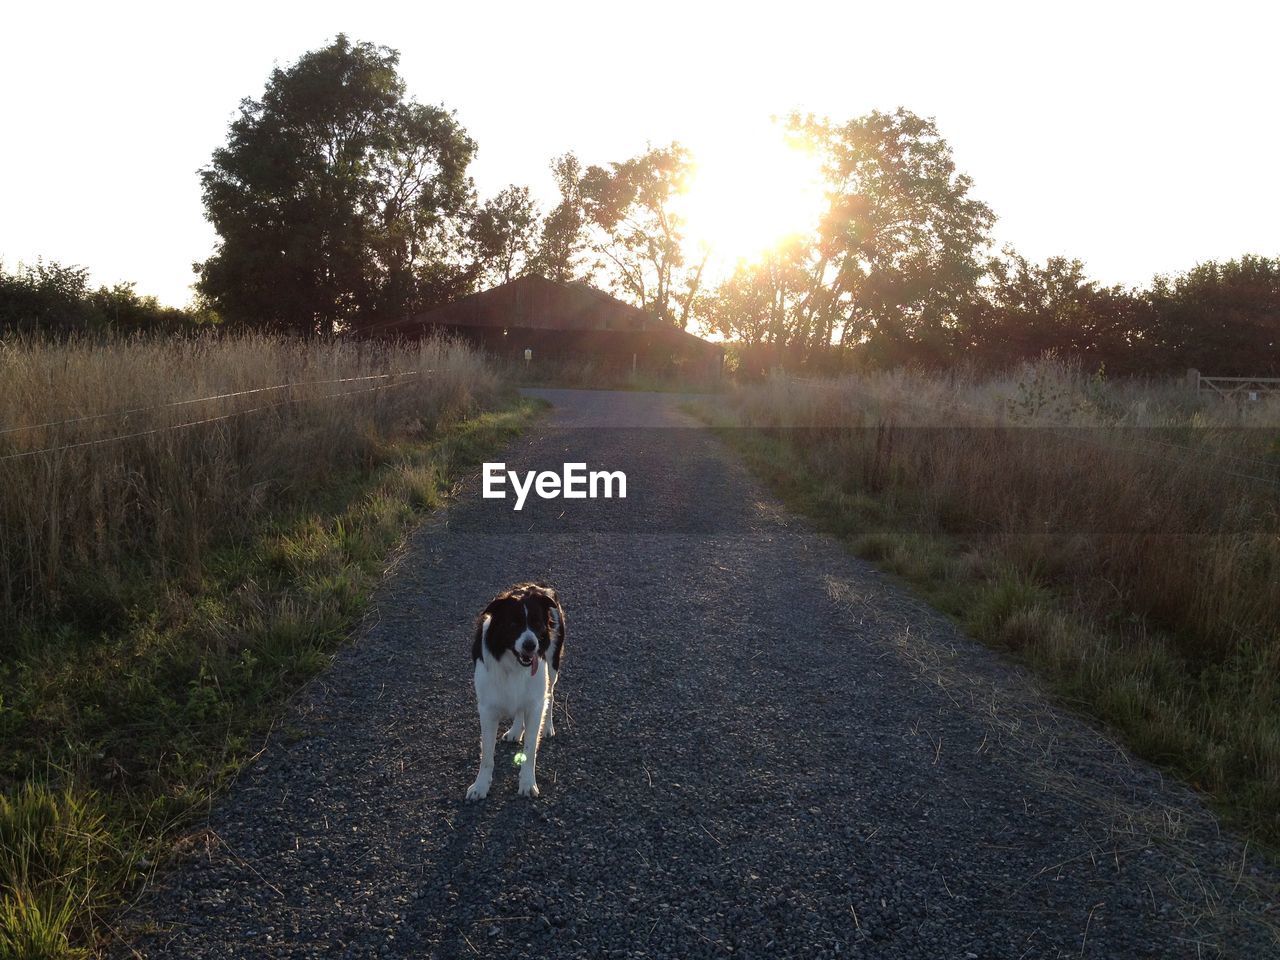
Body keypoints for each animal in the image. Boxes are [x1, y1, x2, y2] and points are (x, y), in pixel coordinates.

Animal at [468, 583, 563, 798]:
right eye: (513, 624)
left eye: (537, 623)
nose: (530, 645)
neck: (513, 663)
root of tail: (540, 585)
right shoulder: (487, 708)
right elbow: (487, 754)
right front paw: (480, 786)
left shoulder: (535, 705)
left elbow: (530, 749)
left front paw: (527, 783)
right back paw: (515, 731)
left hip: (552, 667)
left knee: (550, 695)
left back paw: (548, 726)